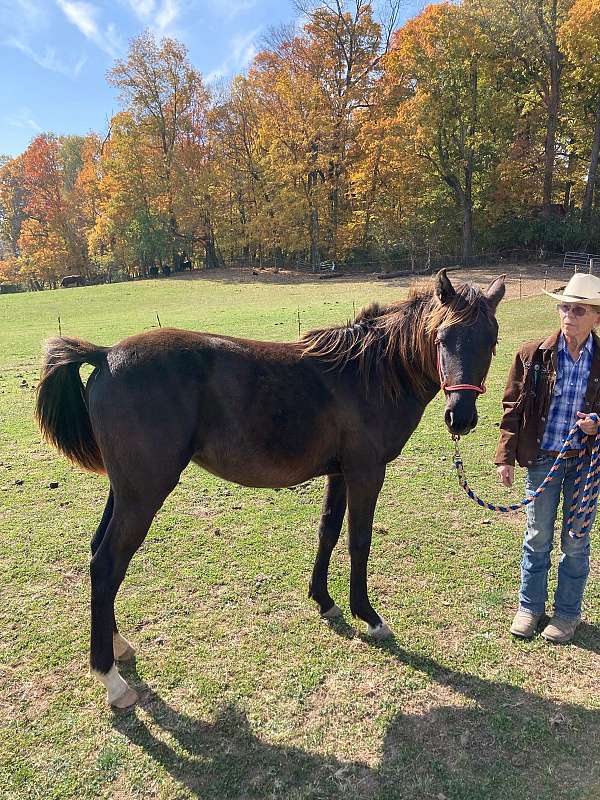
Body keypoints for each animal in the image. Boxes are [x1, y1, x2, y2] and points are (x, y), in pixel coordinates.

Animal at [32, 270, 502, 708]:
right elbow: (359, 541)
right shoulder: (366, 472)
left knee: (98, 554)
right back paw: (111, 679)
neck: (367, 374)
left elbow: (328, 533)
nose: (460, 417)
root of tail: (105, 354)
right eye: (442, 337)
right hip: (143, 494)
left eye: (491, 340)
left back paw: (118, 646)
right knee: (107, 564)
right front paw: (368, 616)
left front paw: (324, 601)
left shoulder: (339, 474)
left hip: (126, 491)